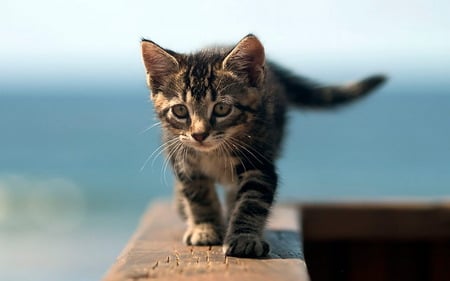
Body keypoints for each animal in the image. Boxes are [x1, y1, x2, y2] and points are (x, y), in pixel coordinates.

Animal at [141, 34, 386, 258]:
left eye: (221, 109)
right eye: (180, 111)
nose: (199, 135)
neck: (215, 151)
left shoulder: (260, 162)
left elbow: (251, 200)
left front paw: (244, 238)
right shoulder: (184, 161)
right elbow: (198, 194)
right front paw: (205, 228)